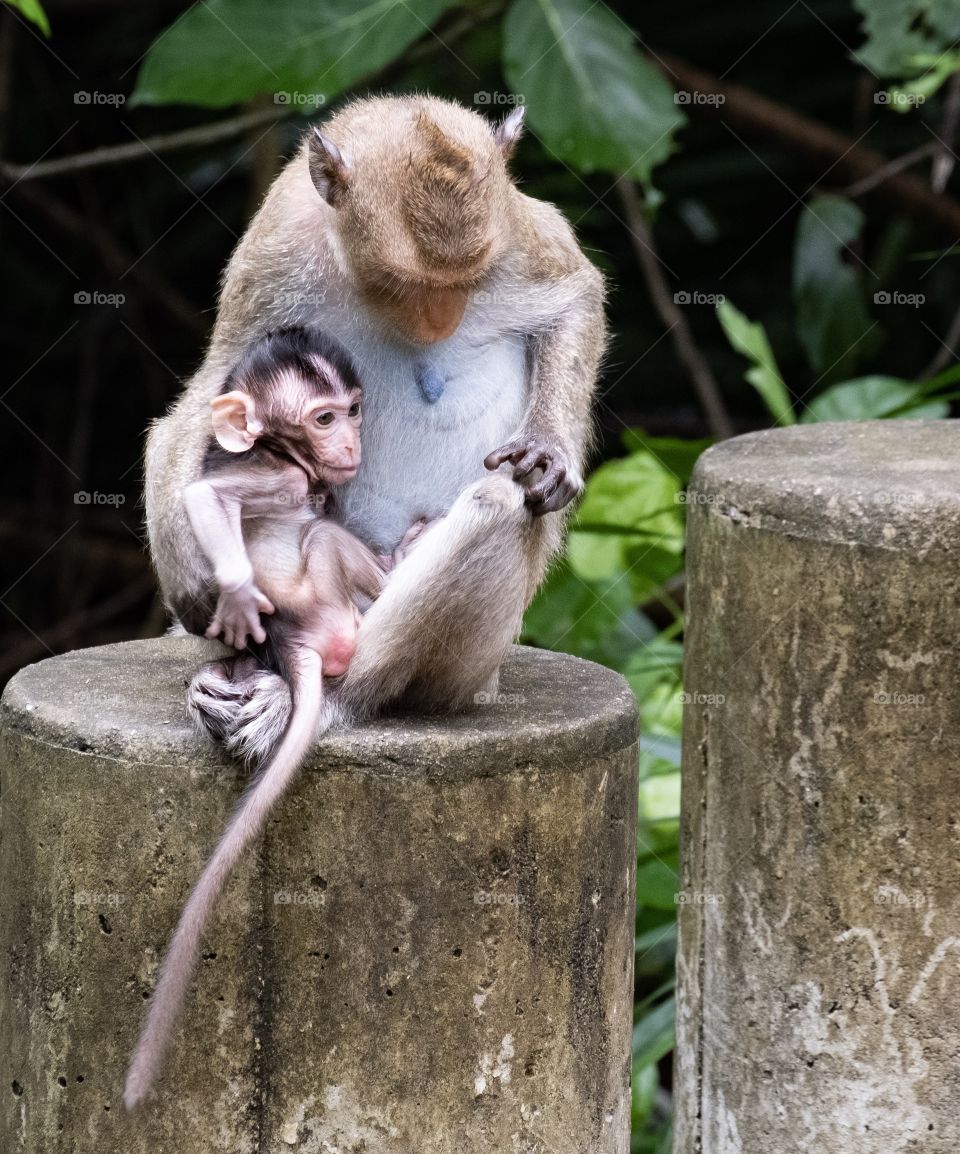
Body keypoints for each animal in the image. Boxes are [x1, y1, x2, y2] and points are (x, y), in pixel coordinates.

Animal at [123, 325, 385, 1107]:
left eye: (353, 409)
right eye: (324, 418)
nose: (353, 442)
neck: (276, 449)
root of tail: (297, 642)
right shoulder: (286, 479)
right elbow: (207, 496)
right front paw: (238, 592)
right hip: (329, 606)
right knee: (326, 539)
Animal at [145, 94, 604, 766]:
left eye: (468, 280)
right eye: (406, 284)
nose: (443, 317)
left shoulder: (518, 230)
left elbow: (575, 298)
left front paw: (548, 450)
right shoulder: (277, 249)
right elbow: (213, 391)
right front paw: (200, 576)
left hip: (469, 665)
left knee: (497, 507)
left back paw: (331, 696)